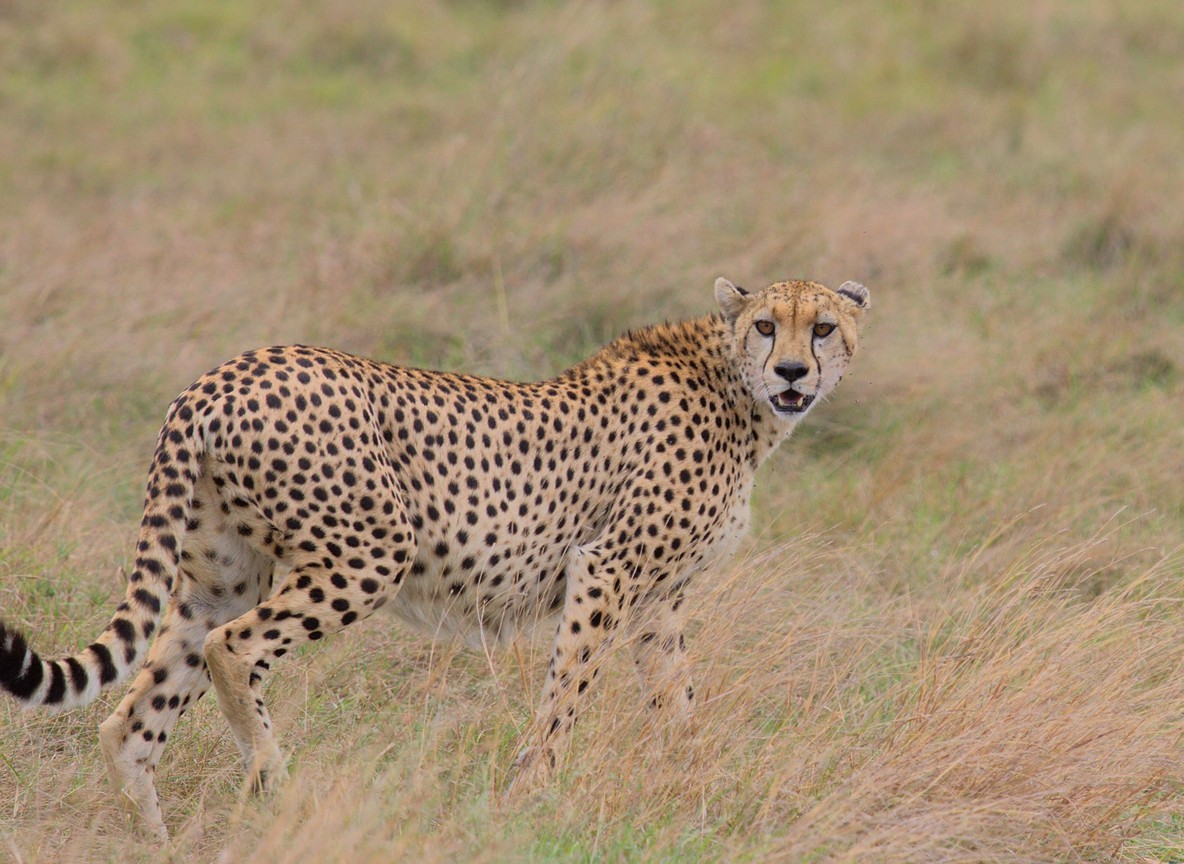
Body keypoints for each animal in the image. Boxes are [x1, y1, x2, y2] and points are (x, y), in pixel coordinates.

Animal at [0, 276, 869, 837]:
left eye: (822, 328)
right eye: (768, 326)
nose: (794, 371)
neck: (738, 392)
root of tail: (222, 374)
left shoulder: (658, 601)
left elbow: (678, 703)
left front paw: (697, 792)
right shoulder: (606, 570)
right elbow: (567, 695)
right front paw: (533, 794)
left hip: (223, 573)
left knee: (130, 720)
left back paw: (157, 842)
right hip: (370, 553)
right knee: (231, 649)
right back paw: (275, 778)